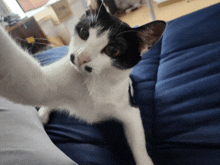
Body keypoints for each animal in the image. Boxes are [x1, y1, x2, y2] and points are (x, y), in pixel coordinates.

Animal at [0, 0, 166, 164]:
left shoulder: (128, 107)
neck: (93, 83)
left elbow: (137, 141)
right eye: (84, 33)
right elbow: (28, 82)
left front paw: (144, 160)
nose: (81, 57)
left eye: (113, 50)